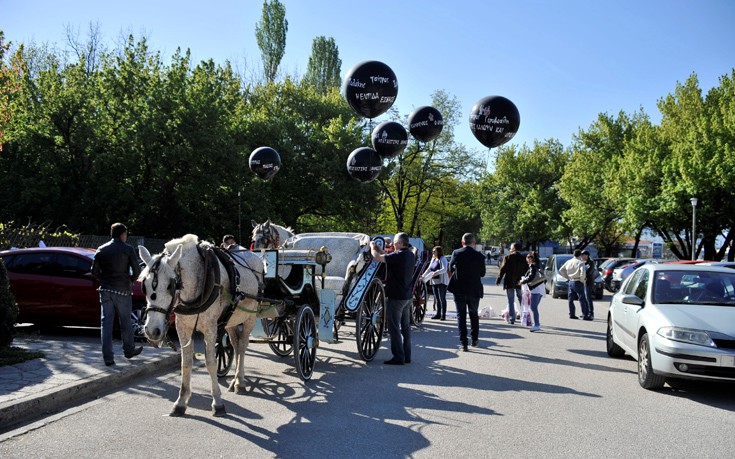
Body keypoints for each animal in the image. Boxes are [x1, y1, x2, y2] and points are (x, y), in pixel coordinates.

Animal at [137, 235, 268, 418]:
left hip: (250, 316)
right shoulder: (182, 327)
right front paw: (181, 402)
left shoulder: (210, 328)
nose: (152, 331)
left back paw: (240, 383)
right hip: (231, 321)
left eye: (171, 285)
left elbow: (211, 362)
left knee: (242, 346)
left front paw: (218, 403)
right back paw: (234, 381)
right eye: (144, 285)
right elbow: (186, 363)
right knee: (235, 345)